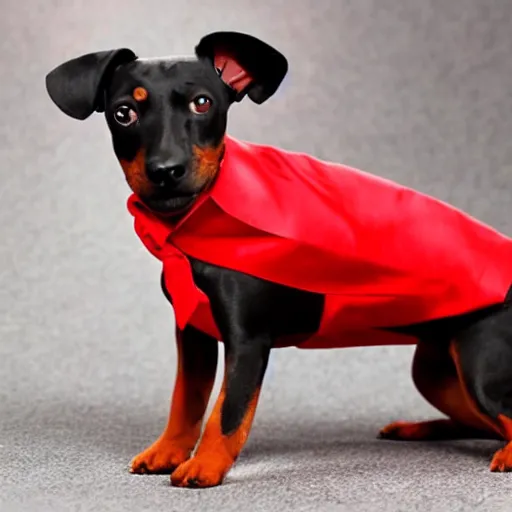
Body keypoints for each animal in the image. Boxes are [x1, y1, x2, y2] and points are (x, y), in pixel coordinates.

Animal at [47, 32, 512, 488]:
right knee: (480, 422)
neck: (193, 222)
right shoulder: (193, 333)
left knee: (502, 417)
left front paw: (205, 465)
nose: (166, 170)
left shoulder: (248, 340)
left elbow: (228, 412)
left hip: (478, 364)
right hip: (436, 369)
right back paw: (418, 428)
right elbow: (186, 402)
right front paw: (167, 450)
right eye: (123, 113)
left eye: (203, 103)